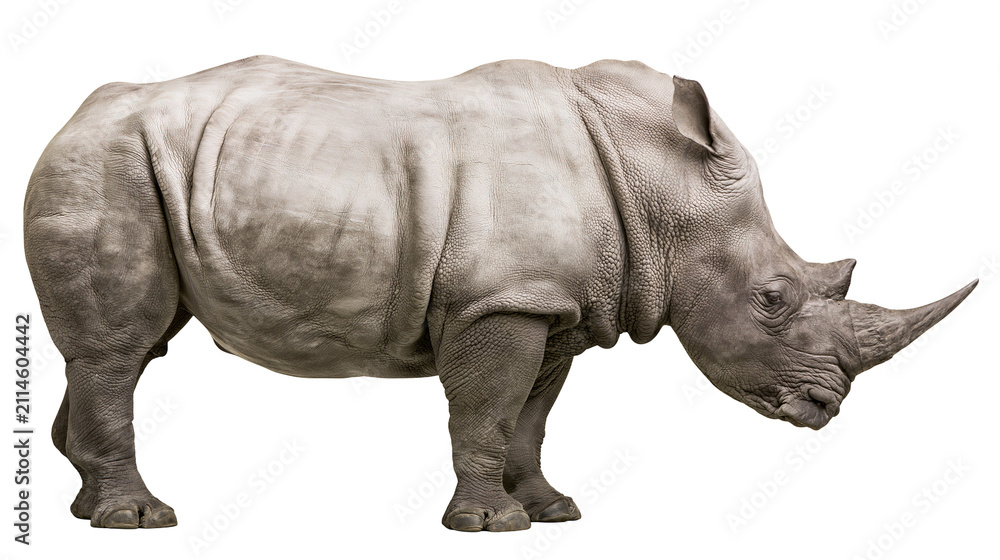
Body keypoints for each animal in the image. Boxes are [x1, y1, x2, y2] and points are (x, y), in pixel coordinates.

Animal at [24, 55, 976, 531]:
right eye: (774, 298)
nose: (825, 408)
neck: (661, 188)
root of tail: (70, 114)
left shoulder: (554, 304)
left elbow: (531, 415)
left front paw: (552, 511)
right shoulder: (502, 300)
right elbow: (485, 408)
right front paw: (490, 526)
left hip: (128, 163)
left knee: (126, 349)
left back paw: (85, 508)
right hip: (104, 163)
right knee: (120, 350)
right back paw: (139, 520)